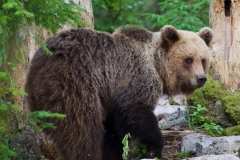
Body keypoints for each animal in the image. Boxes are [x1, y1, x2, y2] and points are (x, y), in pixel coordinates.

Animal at [24, 24, 213, 159]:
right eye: (188, 59)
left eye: (203, 59)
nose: (201, 78)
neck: (157, 64)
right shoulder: (137, 77)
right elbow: (133, 108)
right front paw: (156, 146)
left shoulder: (109, 96)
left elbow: (113, 131)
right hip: (74, 84)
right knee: (82, 129)